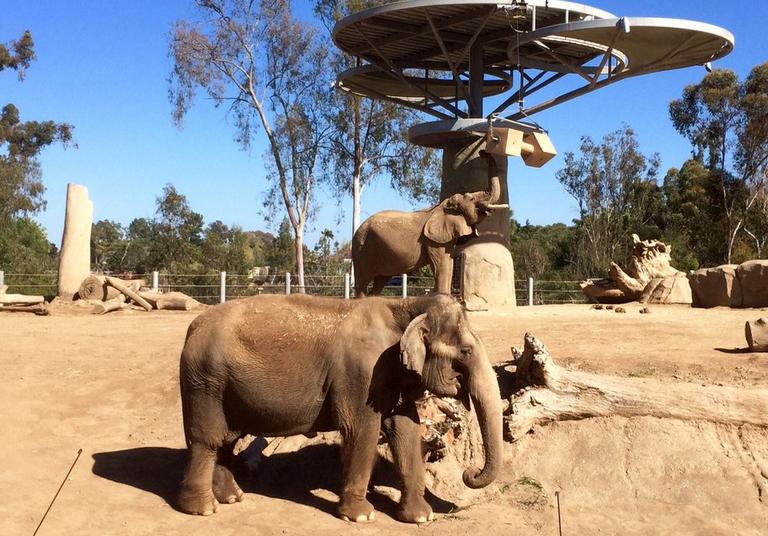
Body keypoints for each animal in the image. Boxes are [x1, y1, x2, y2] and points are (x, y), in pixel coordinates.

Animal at [179, 294, 504, 524]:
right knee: (208, 438)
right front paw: (361, 516)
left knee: (227, 438)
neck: (405, 305)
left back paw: (232, 498)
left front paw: (421, 517)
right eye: (466, 351)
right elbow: (363, 429)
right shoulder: (361, 374)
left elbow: (406, 429)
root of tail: (193, 326)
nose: (470, 473)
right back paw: (203, 509)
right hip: (205, 381)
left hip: (222, 386)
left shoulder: (389, 374)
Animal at [352, 151, 504, 298]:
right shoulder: (433, 239)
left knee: (380, 281)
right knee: (362, 283)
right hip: (362, 249)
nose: (483, 152)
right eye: (471, 199)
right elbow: (442, 264)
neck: (444, 206)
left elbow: (449, 263)